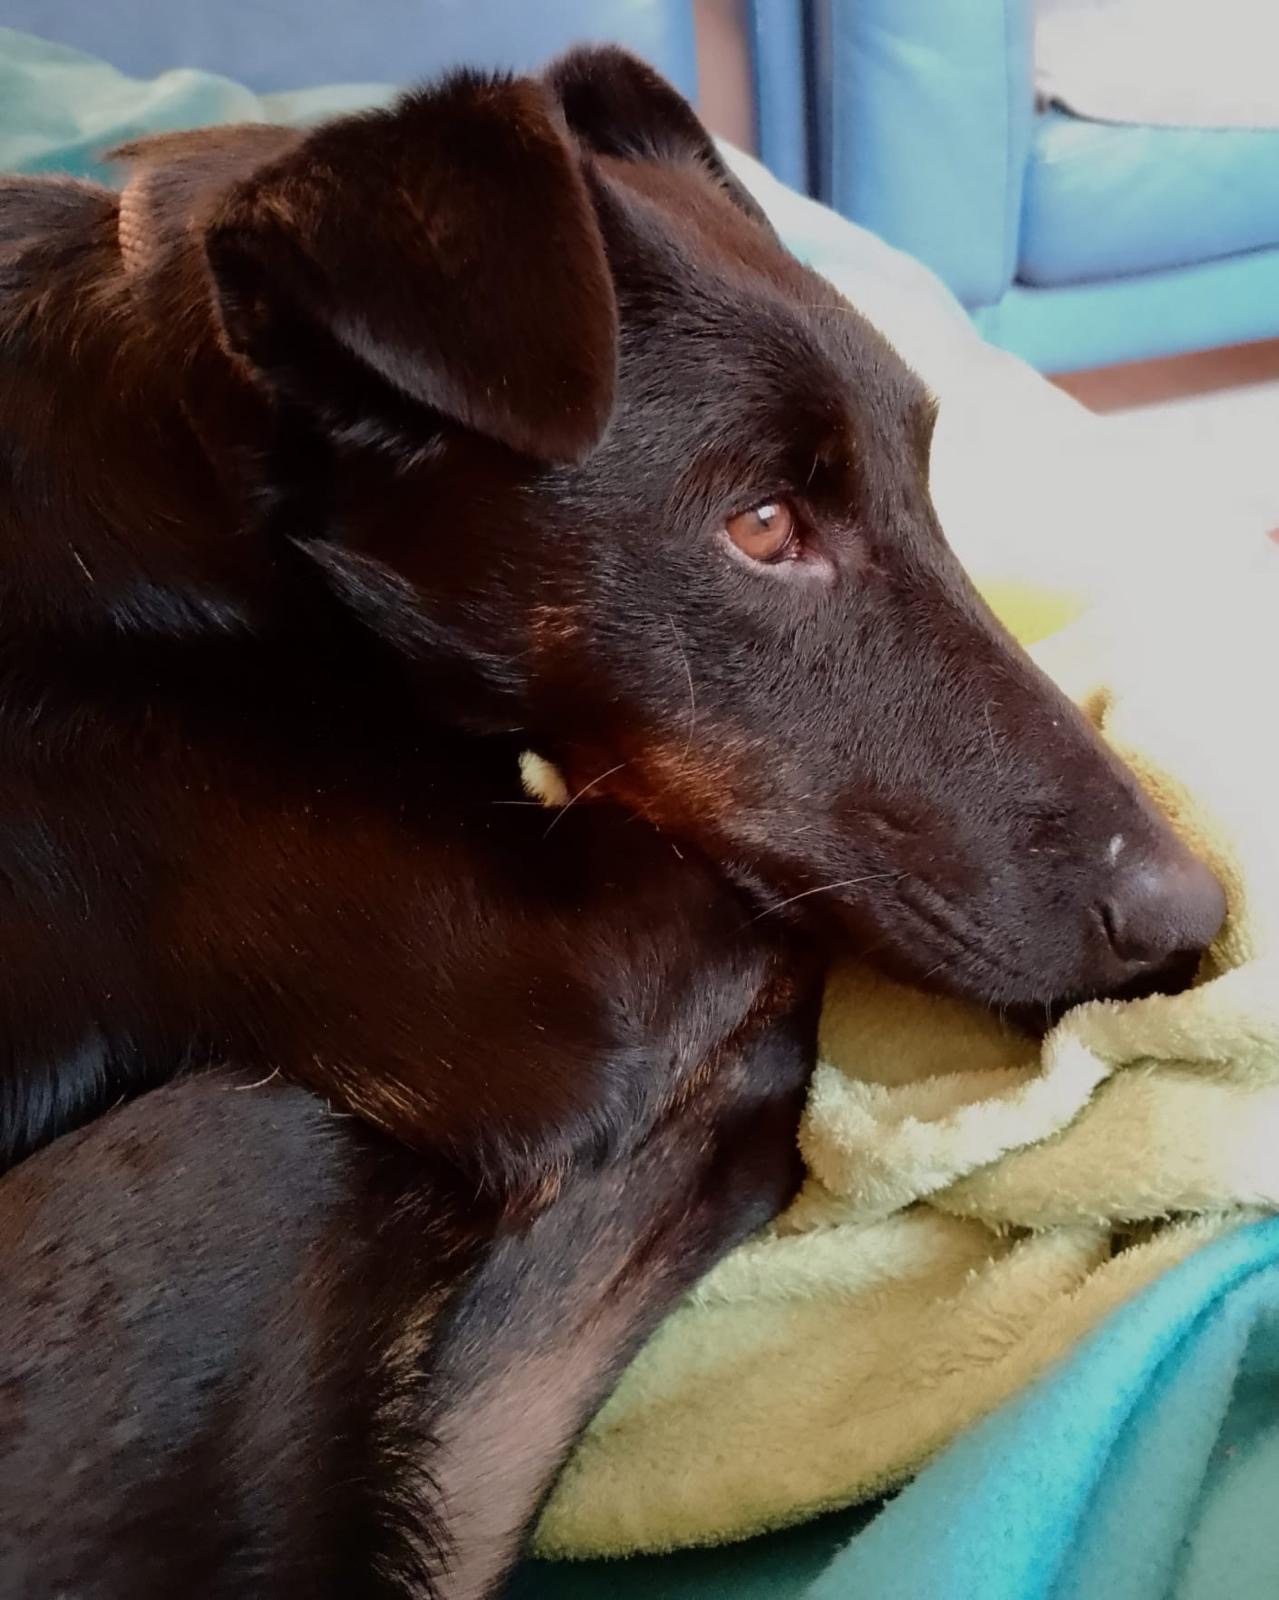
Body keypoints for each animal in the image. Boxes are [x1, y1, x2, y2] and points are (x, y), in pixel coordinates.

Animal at [0, 46, 1225, 1596]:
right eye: (759, 527)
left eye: (928, 482)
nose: (1198, 913)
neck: (187, 480)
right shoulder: (587, 973)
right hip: (236, 1143)